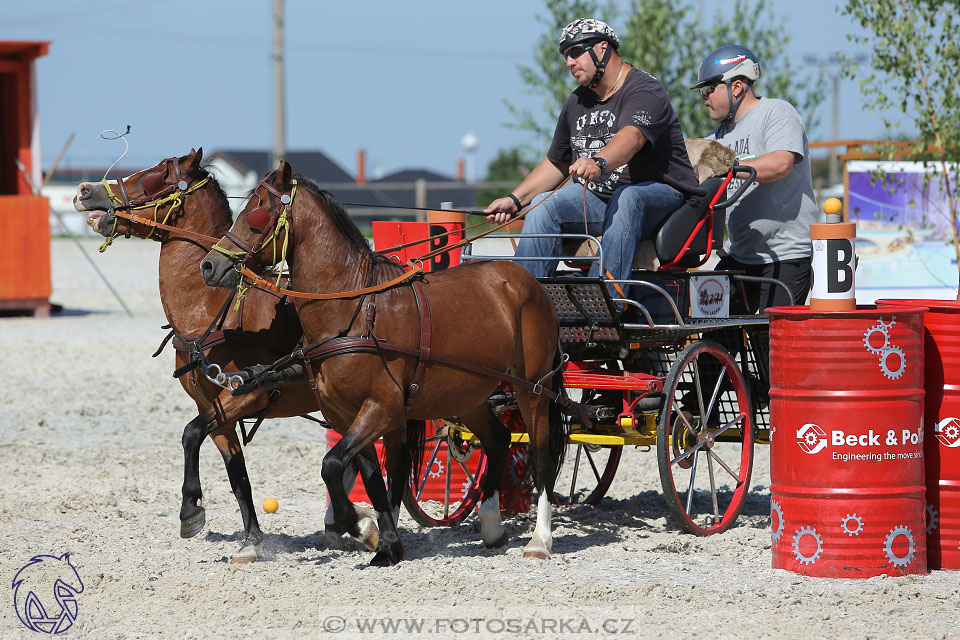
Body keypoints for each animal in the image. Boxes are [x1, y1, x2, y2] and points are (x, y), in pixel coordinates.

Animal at [73, 149, 400, 560]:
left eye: (155, 176)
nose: (85, 190)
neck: (213, 309)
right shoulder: (213, 407)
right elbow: (233, 471)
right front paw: (251, 539)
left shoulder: (249, 395)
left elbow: (190, 434)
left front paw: (190, 509)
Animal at [199, 162, 568, 564]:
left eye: (258, 212)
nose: (209, 264)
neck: (353, 307)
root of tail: (526, 280)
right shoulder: (346, 414)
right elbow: (372, 477)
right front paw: (386, 543)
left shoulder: (383, 407)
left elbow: (333, 465)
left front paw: (358, 525)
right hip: (467, 393)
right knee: (498, 440)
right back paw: (491, 527)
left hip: (532, 388)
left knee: (542, 455)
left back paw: (540, 540)